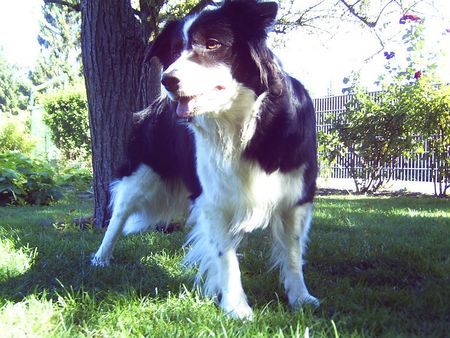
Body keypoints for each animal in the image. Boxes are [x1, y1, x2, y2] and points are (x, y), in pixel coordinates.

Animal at [91, 0, 318, 320]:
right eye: (174, 51)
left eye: (213, 44)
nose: (167, 80)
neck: (241, 126)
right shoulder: (213, 199)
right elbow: (225, 255)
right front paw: (236, 307)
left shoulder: (297, 195)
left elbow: (293, 253)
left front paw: (301, 298)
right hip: (141, 175)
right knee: (119, 215)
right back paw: (101, 257)